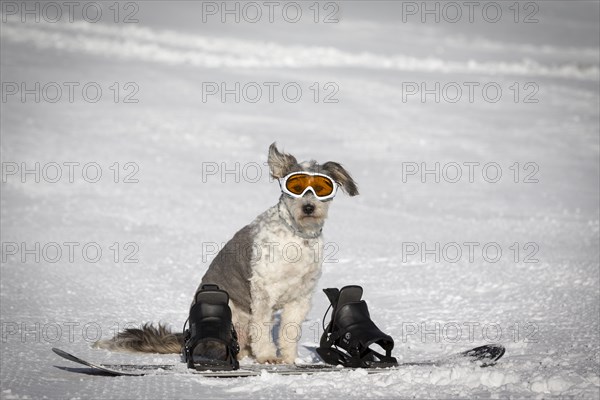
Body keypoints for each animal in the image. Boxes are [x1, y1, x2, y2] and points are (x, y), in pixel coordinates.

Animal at [94, 142, 356, 364]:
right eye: (296, 187)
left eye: (321, 188)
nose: (308, 207)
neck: (297, 237)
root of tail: (187, 338)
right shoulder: (263, 290)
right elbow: (262, 328)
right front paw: (268, 357)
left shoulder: (300, 296)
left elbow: (289, 331)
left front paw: (289, 359)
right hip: (231, 319)